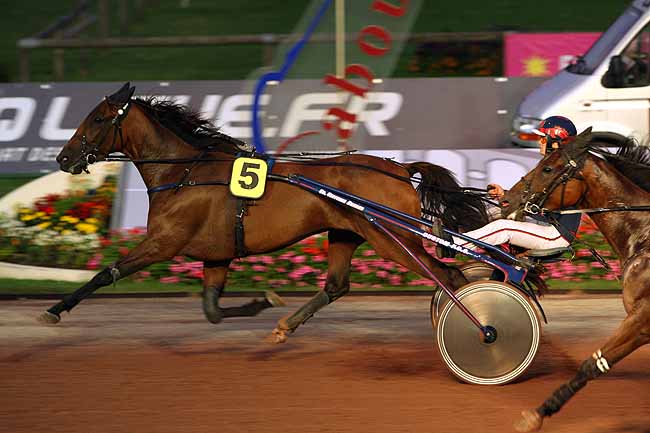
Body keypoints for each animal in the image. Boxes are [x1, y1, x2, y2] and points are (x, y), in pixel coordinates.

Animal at [41, 82, 486, 340]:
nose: (64, 158)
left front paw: (54, 310)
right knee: (337, 285)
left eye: (98, 118)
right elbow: (212, 310)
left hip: (393, 239)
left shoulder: (164, 242)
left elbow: (106, 273)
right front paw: (265, 302)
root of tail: (399, 168)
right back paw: (287, 325)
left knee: (448, 274)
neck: (185, 172)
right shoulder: (216, 254)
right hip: (347, 232)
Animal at [504, 130, 650, 430]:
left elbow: (592, 364)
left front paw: (537, 414)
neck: (643, 236)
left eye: (548, 168)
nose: (508, 200)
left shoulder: (641, 318)